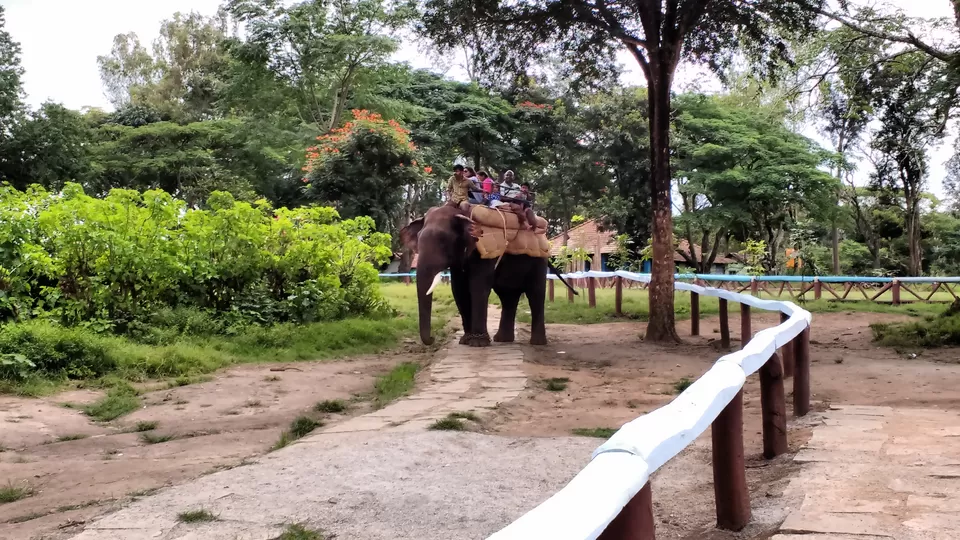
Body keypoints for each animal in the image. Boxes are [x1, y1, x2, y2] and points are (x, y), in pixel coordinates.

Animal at [400, 203, 576, 347]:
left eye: (443, 241)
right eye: (418, 240)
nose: (433, 338)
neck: (461, 213)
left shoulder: (483, 253)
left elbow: (478, 287)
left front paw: (477, 343)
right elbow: (459, 290)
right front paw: (465, 341)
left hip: (539, 261)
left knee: (535, 294)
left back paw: (537, 343)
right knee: (508, 297)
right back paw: (503, 340)